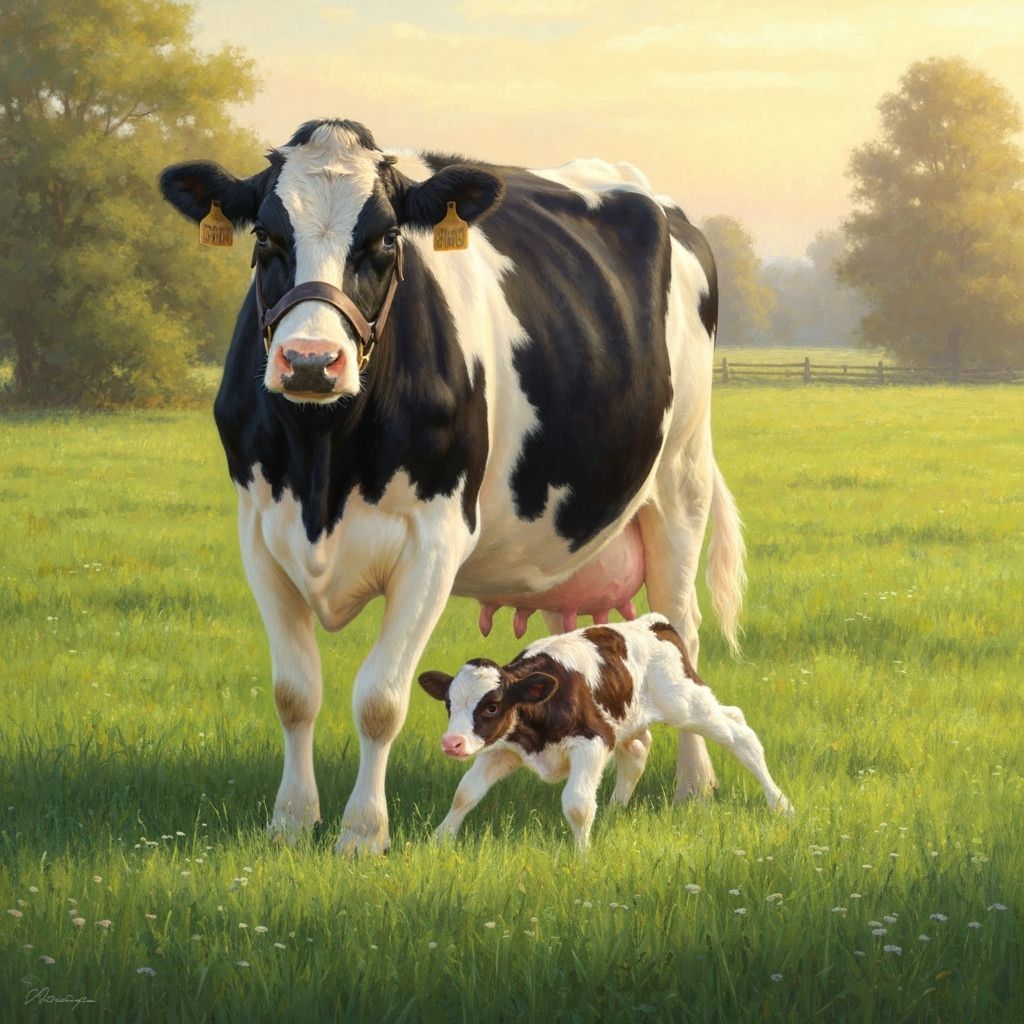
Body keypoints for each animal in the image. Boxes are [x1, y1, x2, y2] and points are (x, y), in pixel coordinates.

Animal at [159, 118, 746, 855]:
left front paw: (362, 834)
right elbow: (295, 693)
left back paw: (695, 786)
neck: (323, 462)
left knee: (682, 627)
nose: (312, 362)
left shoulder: (433, 541)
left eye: (385, 240)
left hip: (680, 479)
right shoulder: (261, 532)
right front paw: (292, 823)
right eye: (266, 237)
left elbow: (380, 699)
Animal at [418, 613, 791, 847]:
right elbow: (465, 792)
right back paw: (614, 811)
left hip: (686, 703)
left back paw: (780, 804)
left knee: (740, 734)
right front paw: (439, 841)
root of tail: (654, 623)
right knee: (640, 751)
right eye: (449, 704)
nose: (452, 743)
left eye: (492, 706)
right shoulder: (502, 749)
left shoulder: (593, 741)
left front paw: (581, 855)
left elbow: (577, 804)